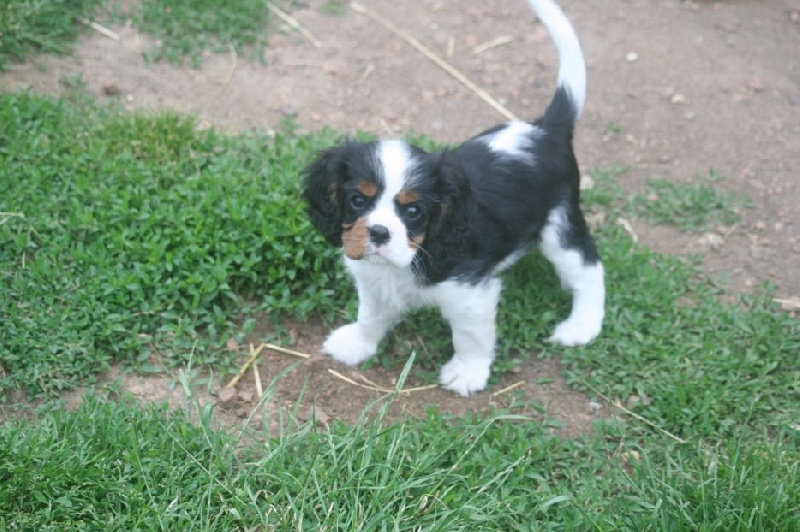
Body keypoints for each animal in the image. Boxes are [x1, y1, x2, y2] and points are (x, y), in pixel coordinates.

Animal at [304, 0, 604, 394]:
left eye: (413, 211)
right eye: (357, 200)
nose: (379, 233)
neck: (409, 259)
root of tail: (544, 130)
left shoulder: (471, 294)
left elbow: (471, 338)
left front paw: (467, 373)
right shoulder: (372, 280)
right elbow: (370, 314)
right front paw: (357, 342)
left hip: (560, 224)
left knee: (589, 270)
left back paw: (581, 327)